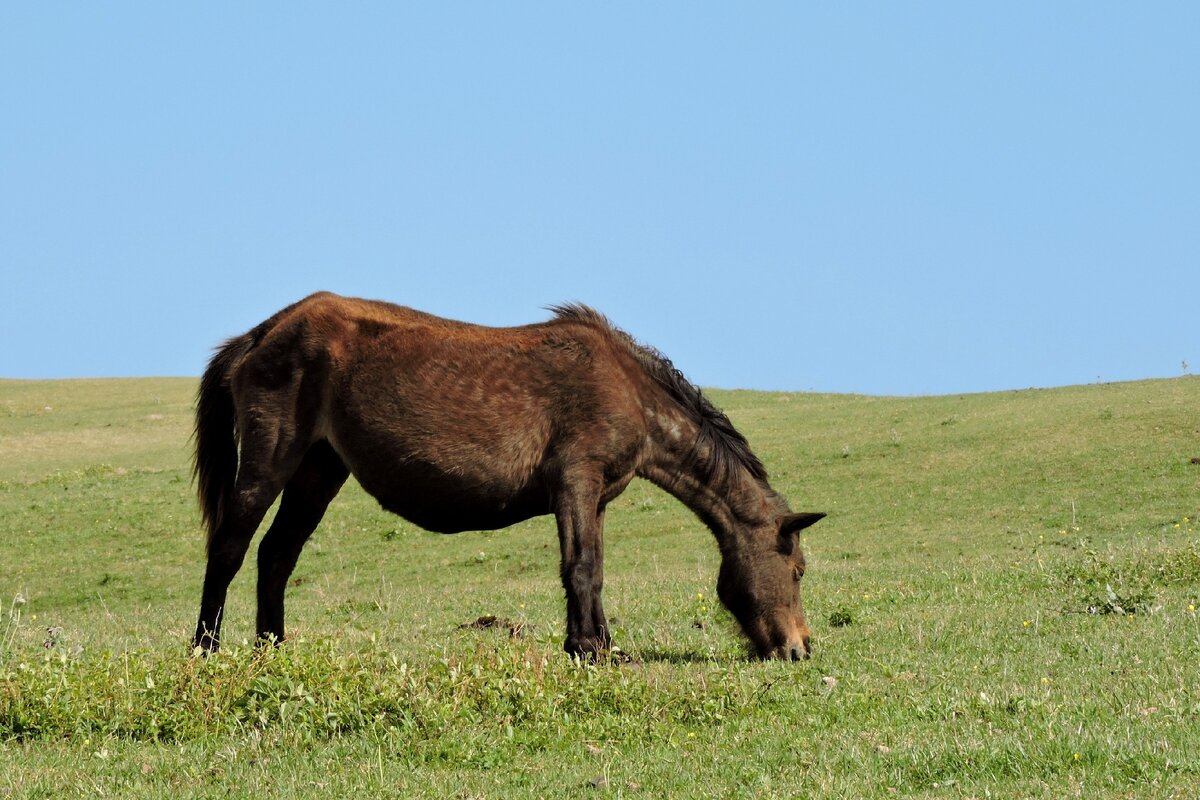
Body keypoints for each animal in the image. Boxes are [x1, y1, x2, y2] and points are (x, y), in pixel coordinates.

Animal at [192, 291, 825, 662]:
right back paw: (207, 650)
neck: (627, 390)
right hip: (272, 461)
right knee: (229, 549)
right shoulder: (575, 480)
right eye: (795, 570)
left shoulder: (595, 496)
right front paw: (589, 650)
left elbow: (592, 570)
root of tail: (261, 334)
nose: (800, 648)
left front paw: (598, 645)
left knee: (276, 555)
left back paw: (273, 651)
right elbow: (581, 568)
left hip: (318, 471)